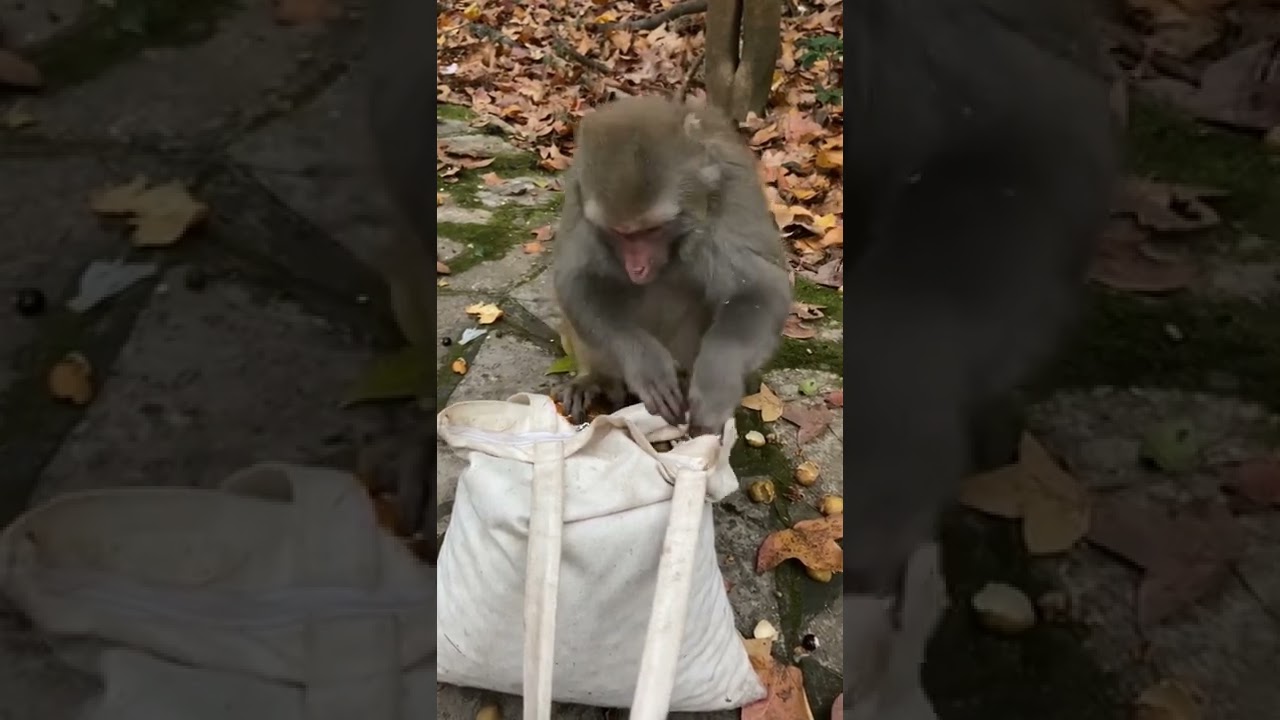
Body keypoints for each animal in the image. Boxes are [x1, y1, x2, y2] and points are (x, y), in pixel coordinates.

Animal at [551, 96, 793, 437]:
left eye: (652, 230)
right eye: (620, 233)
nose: (637, 267)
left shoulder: (733, 188)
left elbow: (761, 288)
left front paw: (716, 384)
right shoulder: (576, 191)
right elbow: (576, 280)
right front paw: (646, 364)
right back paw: (597, 380)